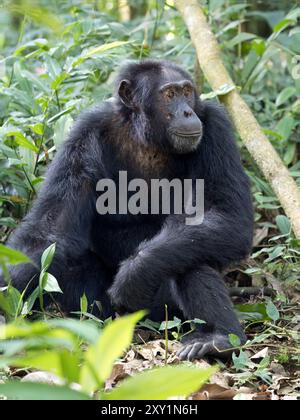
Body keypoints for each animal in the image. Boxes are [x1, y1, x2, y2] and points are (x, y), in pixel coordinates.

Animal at [0, 60, 253, 360]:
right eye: (169, 94)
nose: (187, 111)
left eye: (187, 92)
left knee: (189, 253)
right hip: (105, 311)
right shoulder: (84, 134)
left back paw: (220, 338)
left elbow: (228, 215)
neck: (147, 137)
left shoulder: (216, 127)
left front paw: (136, 272)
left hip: (166, 313)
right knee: (64, 257)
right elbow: (51, 230)